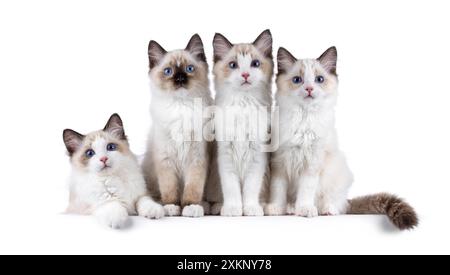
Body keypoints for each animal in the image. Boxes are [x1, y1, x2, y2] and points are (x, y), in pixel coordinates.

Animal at [143, 34, 214, 219]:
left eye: (189, 69)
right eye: (168, 71)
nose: (180, 79)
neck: (181, 108)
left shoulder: (197, 158)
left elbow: (193, 188)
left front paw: (190, 207)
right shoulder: (165, 159)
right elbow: (170, 189)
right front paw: (172, 207)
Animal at [206, 29, 272, 217]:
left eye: (255, 64)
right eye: (233, 65)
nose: (245, 75)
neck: (243, 103)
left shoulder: (257, 157)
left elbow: (250, 189)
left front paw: (250, 209)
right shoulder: (225, 156)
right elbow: (232, 189)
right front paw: (233, 209)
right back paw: (218, 207)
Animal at [264, 47, 418, 231]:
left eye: (319, 79)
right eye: (297, 80)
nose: (309, 88)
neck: (304, 120)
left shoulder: (312, 164)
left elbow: (306, 190)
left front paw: (305, 209)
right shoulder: (279, 163)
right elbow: (277, 189)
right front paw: (275, 208)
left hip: (338, 172)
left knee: (338, 204)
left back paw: (325, 209)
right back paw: (289, 208)